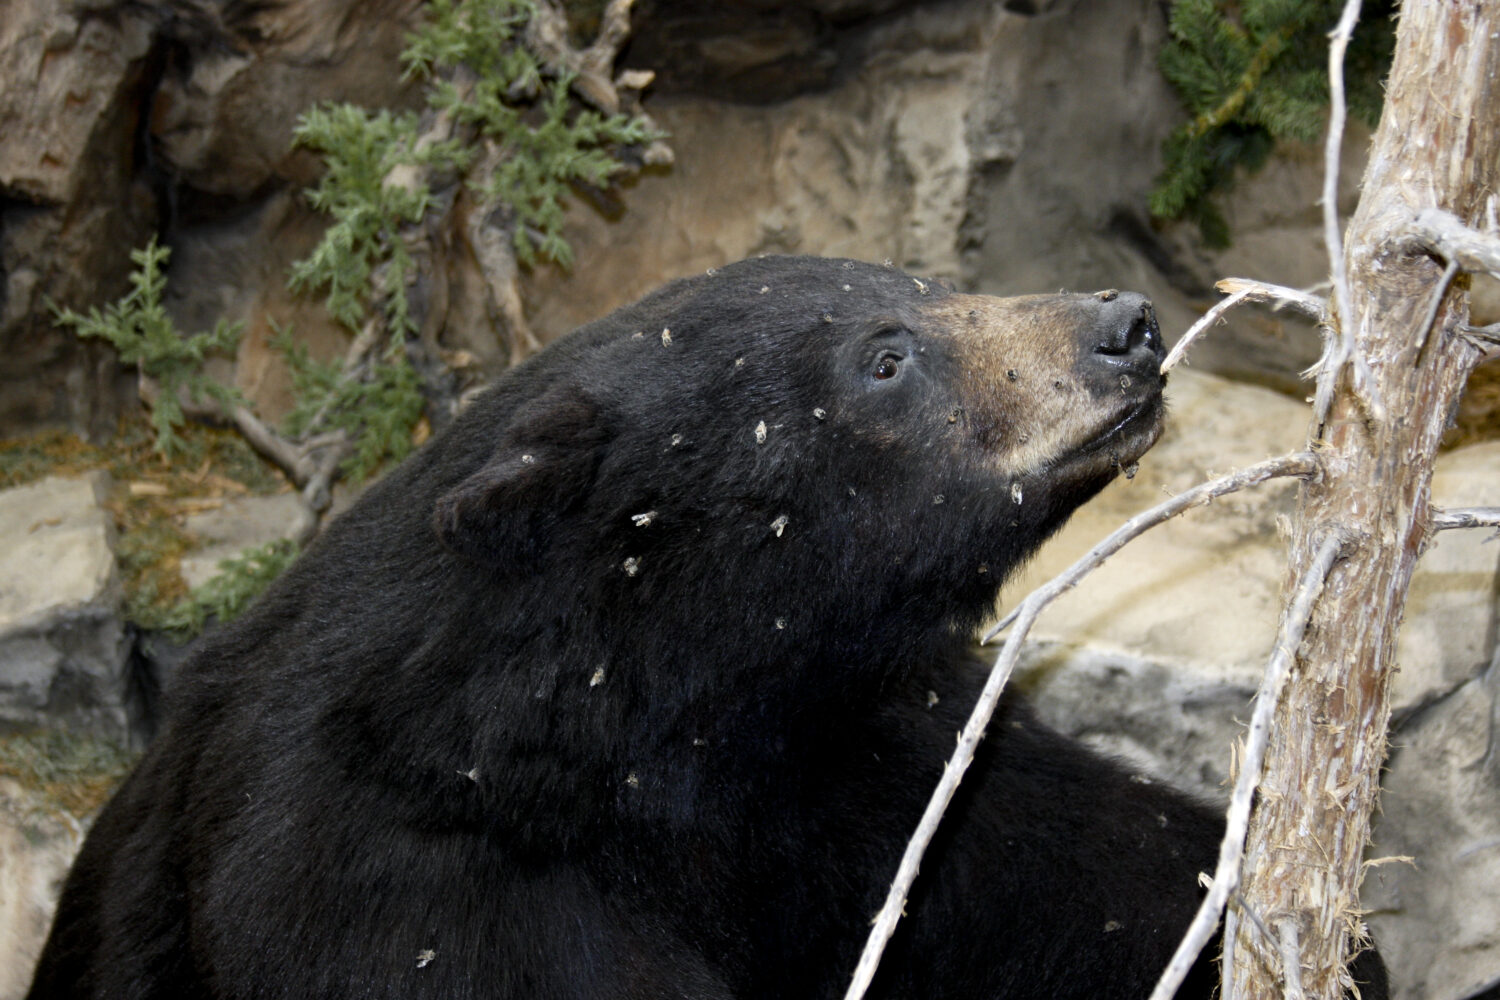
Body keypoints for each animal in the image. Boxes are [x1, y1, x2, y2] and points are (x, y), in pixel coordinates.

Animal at [28, 255, 1387, 999]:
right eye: (886, 358)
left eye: (930, 283)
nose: (1125, 326)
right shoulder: (395, 897)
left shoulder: (846, 762)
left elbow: (1076, 863)